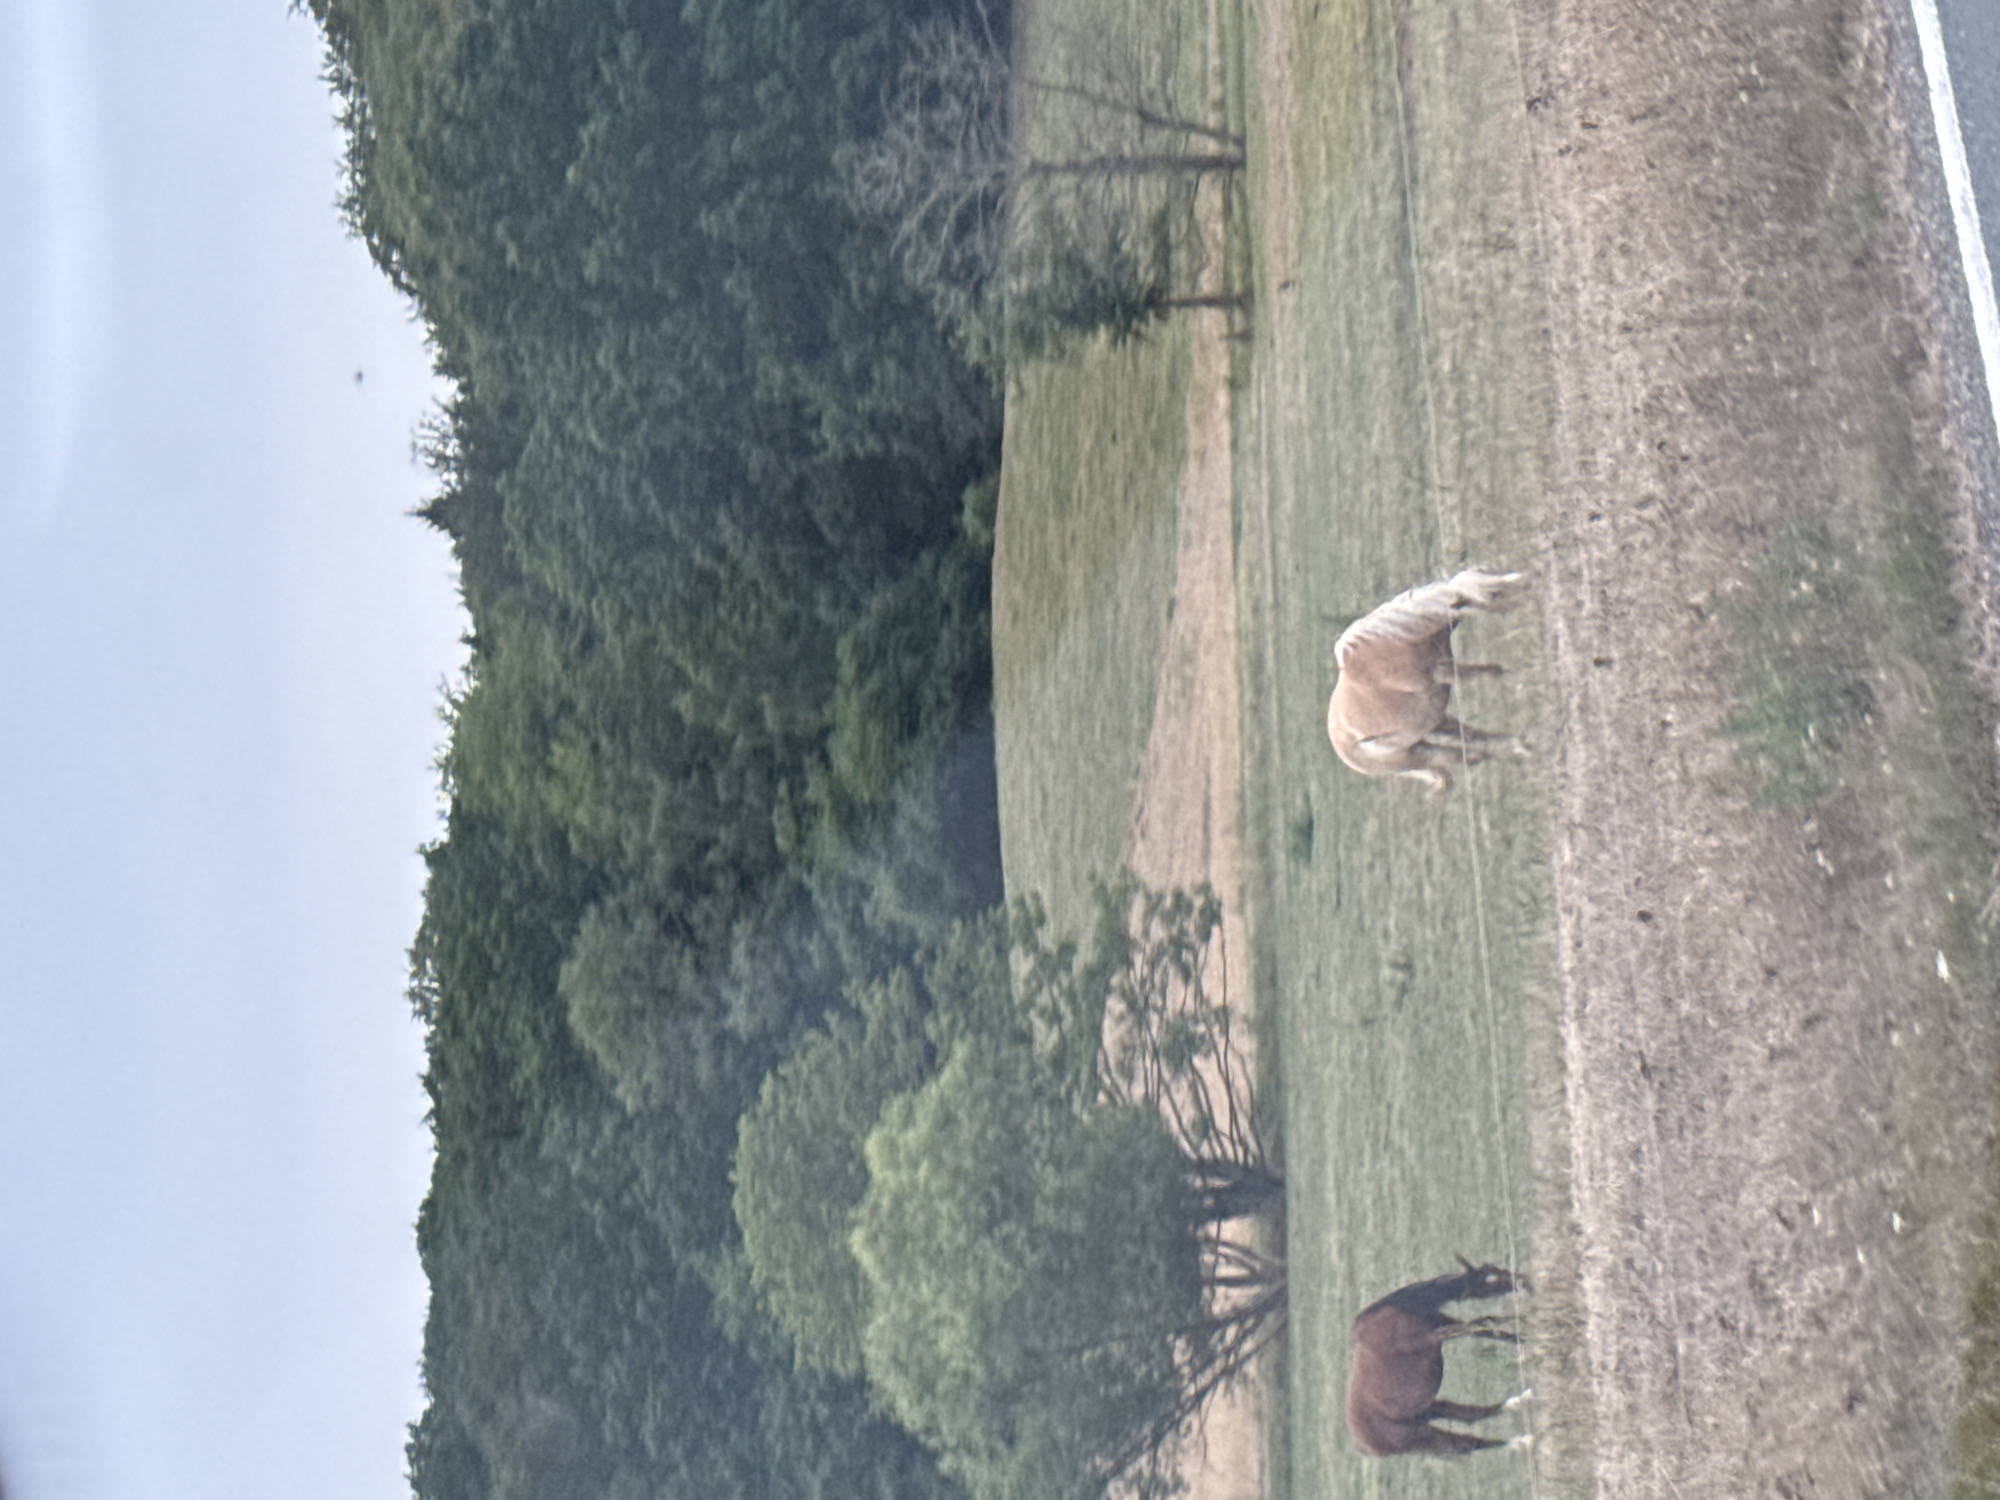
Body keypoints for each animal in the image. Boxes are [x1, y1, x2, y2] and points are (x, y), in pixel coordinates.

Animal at [1326, 569, 1528, 795]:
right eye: (1494, 593)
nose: (1527, 584)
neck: (1395, 642)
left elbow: (1493, 670)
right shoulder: (1444, 672)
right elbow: (1494, 672)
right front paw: (1523, 675)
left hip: (1434, 728)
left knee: (1474, 741)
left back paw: (1517, 745)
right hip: (1417, 755)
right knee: (1462, 753)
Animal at [1346, 1258, 1530, 1457]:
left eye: (1494, 1268)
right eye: (1490, 1278)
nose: (1523, 1279)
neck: (1404, 1310)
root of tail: (1365, 1446)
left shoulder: (1444, 1323)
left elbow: (1485, 1326)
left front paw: (1524, 1334)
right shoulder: (1437, 1334)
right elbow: (1481, 1323)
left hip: (1430, 1410)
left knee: (1469, 1415)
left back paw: (1518, 1402)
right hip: (1422, 1436)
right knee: (1466, 1443)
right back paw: (1522, 1440)